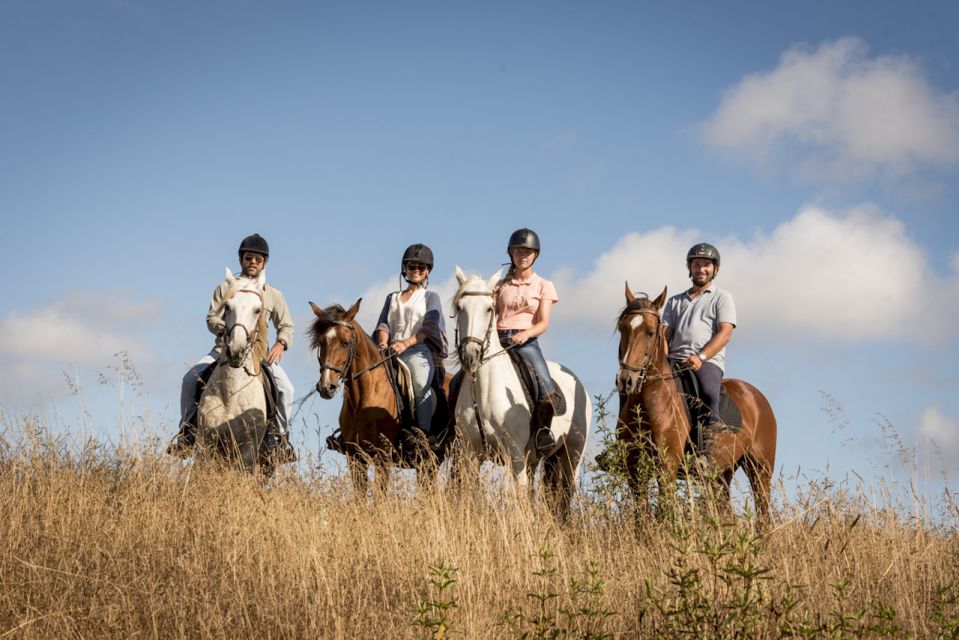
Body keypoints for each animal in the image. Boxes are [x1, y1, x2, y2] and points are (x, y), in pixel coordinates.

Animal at [196, 266, 274, 476]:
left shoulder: (248, 450)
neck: (232, 393)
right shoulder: (207, 443)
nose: (236, 351)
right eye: (228, 307)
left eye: (257, 310)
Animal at [308, 298, 450, 492]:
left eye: (345, 343)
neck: (362, 400)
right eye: (321, 342)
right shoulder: (355, 457)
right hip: (428, 462)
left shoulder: (382, 456)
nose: (326, 386)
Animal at [452, 268, 592, 516]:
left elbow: (516, 500)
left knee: (564, 495)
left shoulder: (515, 455)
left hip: (571, 456)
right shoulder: (470, 453)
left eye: (489, 308)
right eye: (460, 307)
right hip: (535, 459)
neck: (484, 392)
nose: (470, 356)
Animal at [616, 282, 780, 524]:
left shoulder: (667, 466)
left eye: (651, 332)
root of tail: (757, 397)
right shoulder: (634, 468)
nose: (626, 380)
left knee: (763, 514)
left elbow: (664, 512)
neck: (648, 405)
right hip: (721, 474)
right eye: (622, 328)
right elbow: (641, 516)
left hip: (760, 470)